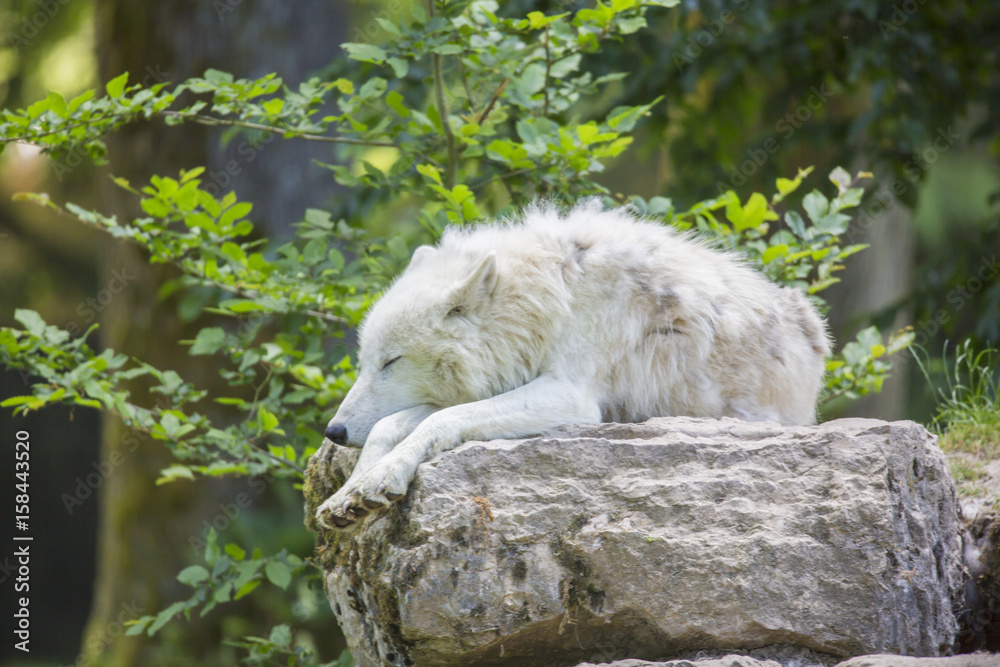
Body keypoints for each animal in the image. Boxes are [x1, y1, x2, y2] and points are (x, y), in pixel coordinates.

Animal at [315, 202, 829, 530]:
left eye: (392, 362)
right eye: (367, 362)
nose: (333, 432)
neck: (548, 296)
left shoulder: (568, 394)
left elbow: (442, 419)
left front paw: (381, 477)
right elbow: (395, 425)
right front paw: (349, 493)